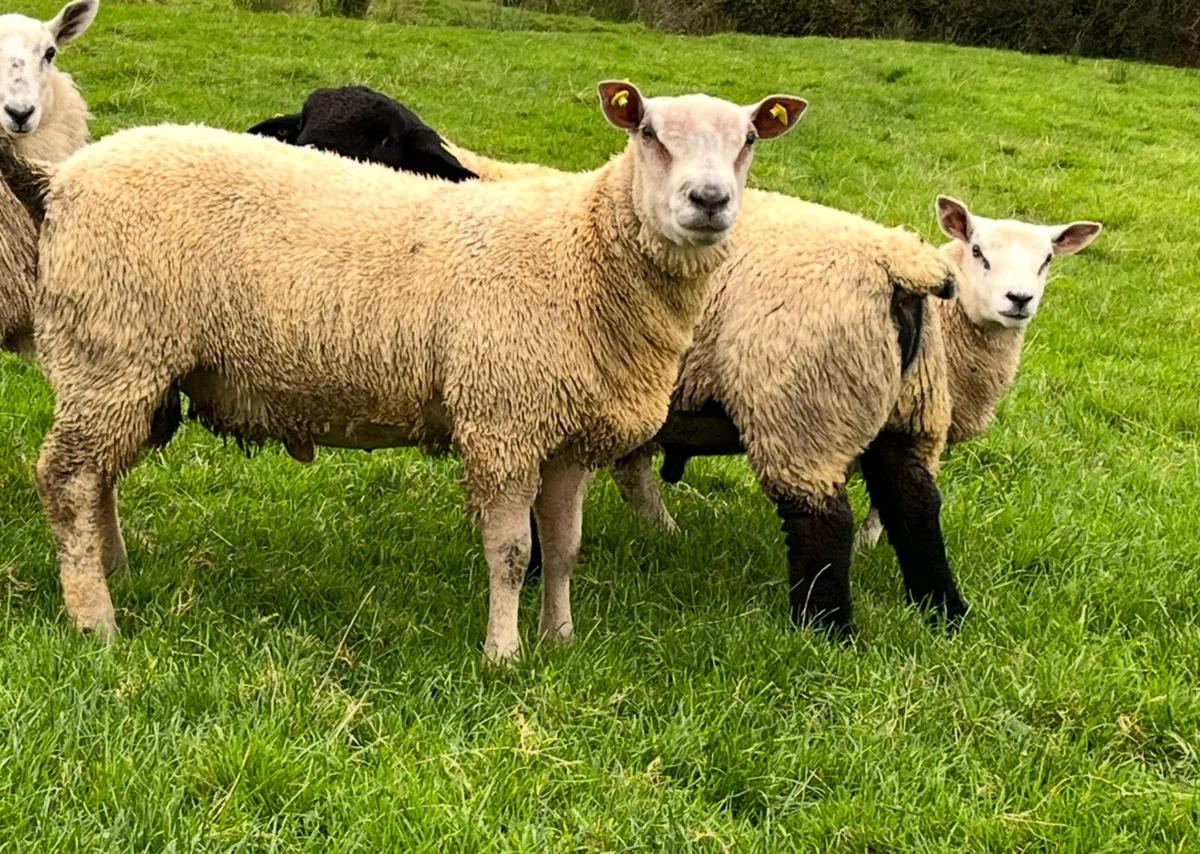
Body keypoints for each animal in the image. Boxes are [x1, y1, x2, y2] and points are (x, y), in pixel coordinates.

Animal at [0, 81, 806, 661]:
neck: (578, 252)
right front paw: (503, 654)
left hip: (119, 364)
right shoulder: (502, 419)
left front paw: (561, 639)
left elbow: (564, 548)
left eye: (748, 141)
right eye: (648, 134)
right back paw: (95, 619)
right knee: (66, 480)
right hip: (114, 346)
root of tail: (59, 179)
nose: (710, 201)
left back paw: (115, 571)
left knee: (95, 477)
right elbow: (511, 552)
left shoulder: (565, 431)